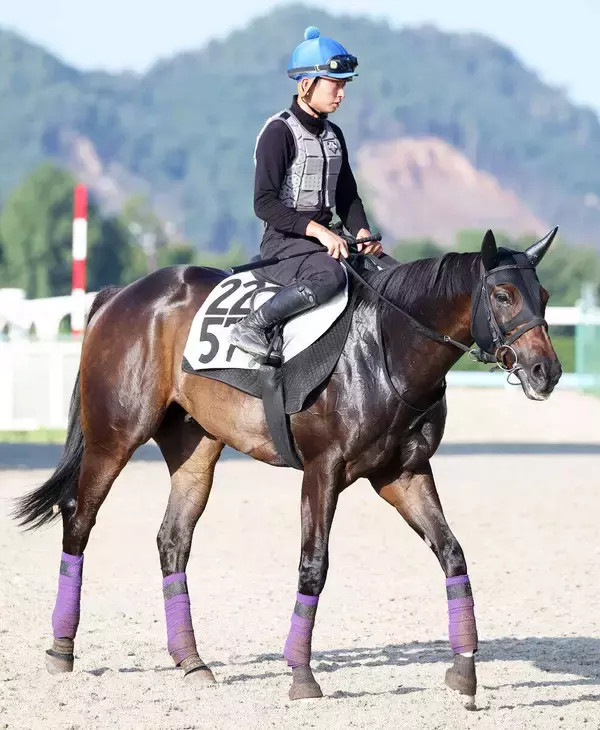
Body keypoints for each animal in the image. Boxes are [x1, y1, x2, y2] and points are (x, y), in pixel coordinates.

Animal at [13, 227, 562, 708]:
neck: (384, 349)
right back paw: (61, 649)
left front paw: (465, 673)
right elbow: (313, 566)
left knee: (173, 539)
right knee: (79, 517)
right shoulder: (323, 471)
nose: (547, 372)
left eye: (544, 294)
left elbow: (452, 555)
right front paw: (301, 675)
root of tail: (121, 294)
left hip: (196, 449)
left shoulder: (403, 475)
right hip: (116, 436)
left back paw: (191, 661)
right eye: (504, 294)